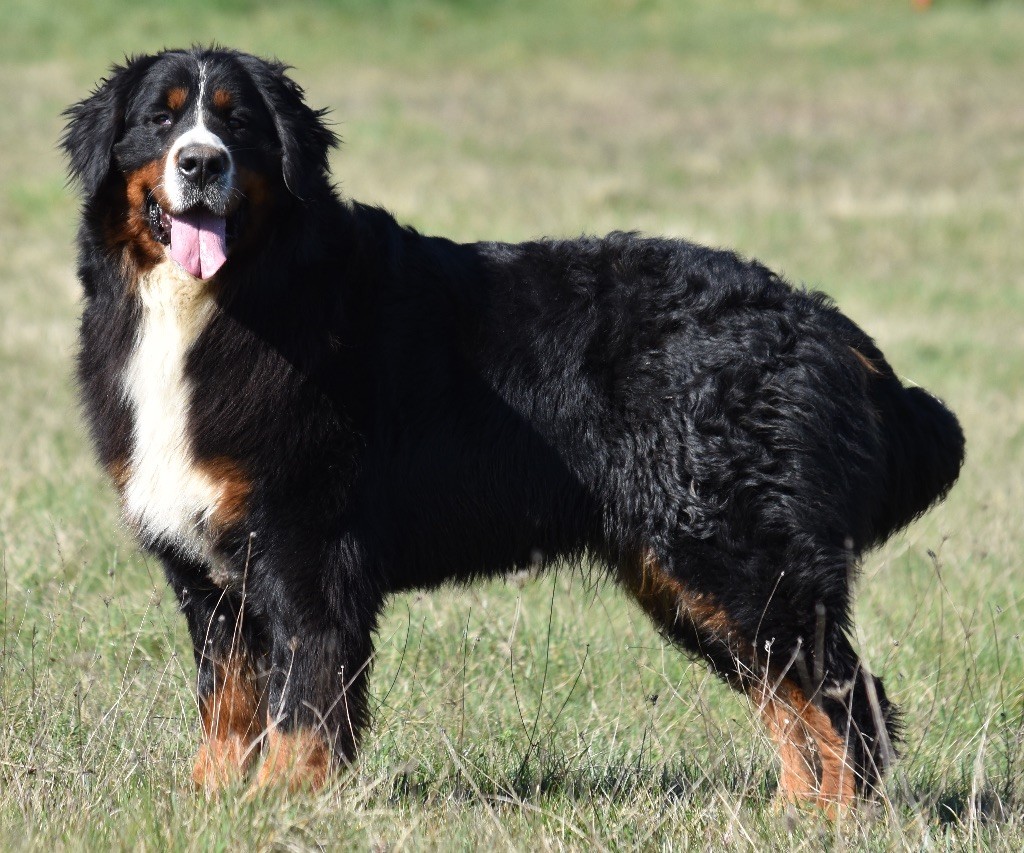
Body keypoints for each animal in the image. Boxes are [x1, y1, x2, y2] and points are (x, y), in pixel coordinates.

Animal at [61, 46, 958, 806]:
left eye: (237, 122)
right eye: (161, 120)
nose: (201, 162)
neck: (228, 303)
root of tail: (821, 322)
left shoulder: (306, 548)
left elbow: (305, 697)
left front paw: (283, 799)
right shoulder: (207, 573)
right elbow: (229, 699)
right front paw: (212, 799)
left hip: (739, 554)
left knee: (844, 699)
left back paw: (835, 816)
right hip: (690, 572)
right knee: (791, 699)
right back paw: (794, 812)